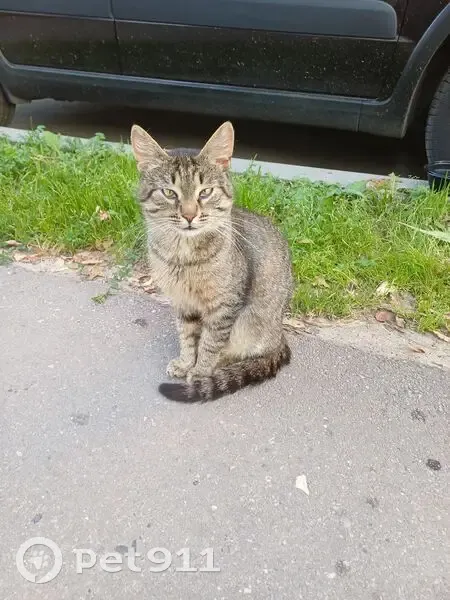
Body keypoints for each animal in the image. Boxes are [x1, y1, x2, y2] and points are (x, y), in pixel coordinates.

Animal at [130, 121, 293, 402]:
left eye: (205, 192)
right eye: (169, 193)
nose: (189, 215)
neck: (183, 256)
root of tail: (280, 336)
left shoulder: (224, 307)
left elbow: (210, 343)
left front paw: (200, 372)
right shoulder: (183, 302)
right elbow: (187, 337)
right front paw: (186, 362)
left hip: (251, 324)